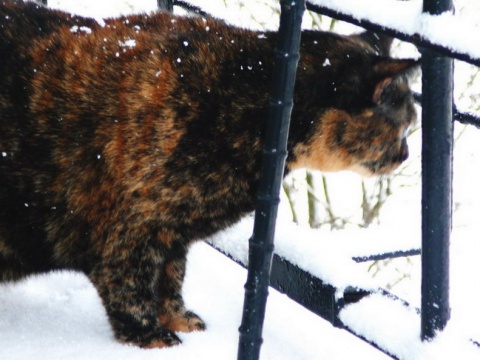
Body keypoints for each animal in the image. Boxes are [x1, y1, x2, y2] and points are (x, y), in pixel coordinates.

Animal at [0, 0, 418, 348]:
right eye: (404, 125)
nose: (406, 155)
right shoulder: (130, 231)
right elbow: (131, 288)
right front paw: (151, 338)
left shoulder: (171, 233)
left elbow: (171, 277)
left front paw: (177, 318)